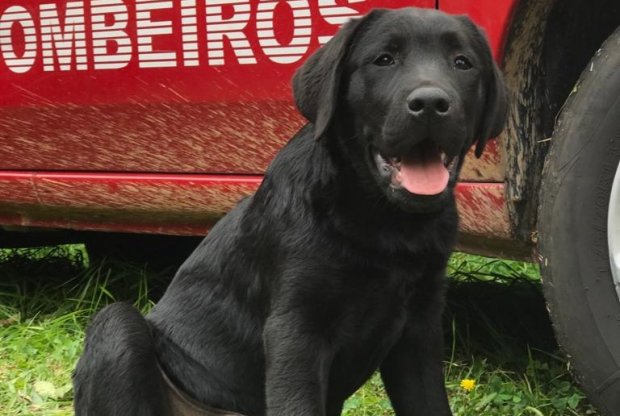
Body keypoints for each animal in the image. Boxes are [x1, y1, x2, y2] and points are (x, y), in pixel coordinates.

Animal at [74, 7, 508, 416]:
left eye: (463, 63)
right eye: (384, 60)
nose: (431, 104)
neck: (386, 224)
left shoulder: (419, 329)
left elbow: (430, 403)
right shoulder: (295, 330)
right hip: (116, 325)